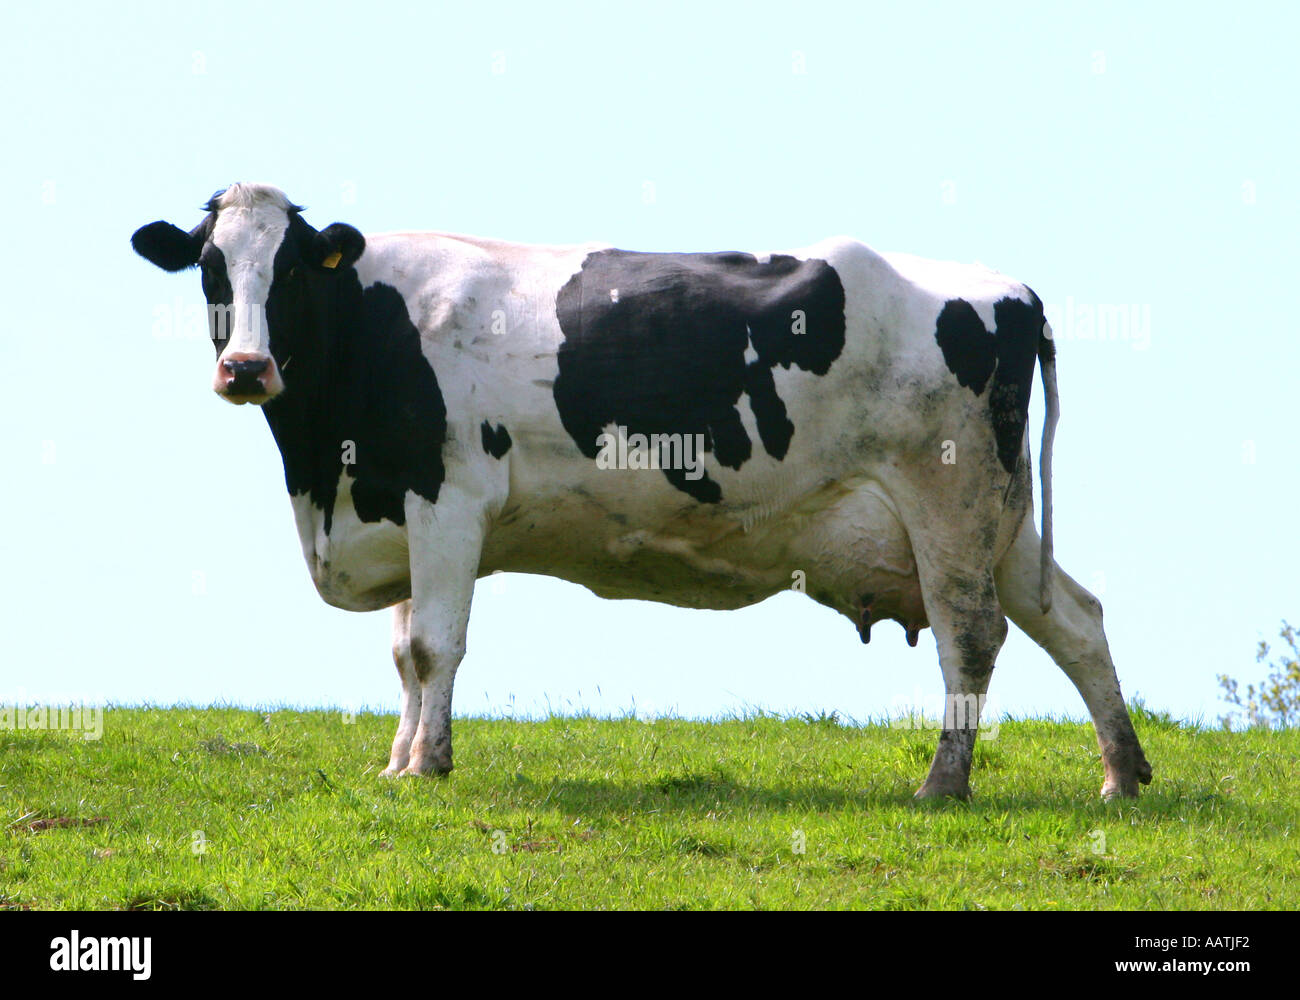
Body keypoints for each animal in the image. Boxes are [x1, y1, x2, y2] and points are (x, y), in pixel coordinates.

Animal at [131, 182, 1152, 800]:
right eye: (212, 267)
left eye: (291, 270)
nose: (246, 367)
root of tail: (1006, 289)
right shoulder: (398, 505)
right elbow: (401, 654)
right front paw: (397, 763)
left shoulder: (449, 497)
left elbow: (432, 647)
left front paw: (428, 766)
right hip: (1002, 519)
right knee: (1076, 619)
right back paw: (1122, 772)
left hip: (948, 500)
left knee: (970, 636)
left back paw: (943, 785)